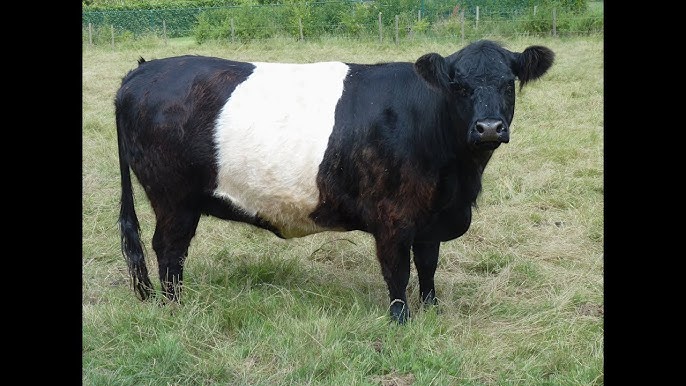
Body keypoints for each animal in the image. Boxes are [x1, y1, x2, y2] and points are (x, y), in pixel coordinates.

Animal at [115, 39, 556, 322]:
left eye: (508, 83)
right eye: (458, 86)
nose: (488, 127)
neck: (458, 180)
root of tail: (144, 69)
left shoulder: (430, 218)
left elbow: (428, 266)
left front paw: (432, 311)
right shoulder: (393, 218)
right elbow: (398, 271)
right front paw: (401, 322)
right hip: (173, 199)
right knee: (169, 251)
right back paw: (175, 307)